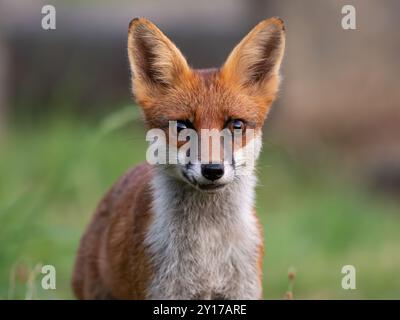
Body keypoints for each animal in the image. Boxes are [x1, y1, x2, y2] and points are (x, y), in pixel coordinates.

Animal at [72, 16, 284, 298]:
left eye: (235, 125)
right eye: (183, 126)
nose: (213, 169)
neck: (208, 253)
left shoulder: (242, 291)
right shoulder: (164, 292)